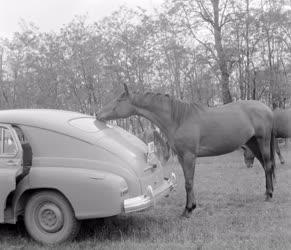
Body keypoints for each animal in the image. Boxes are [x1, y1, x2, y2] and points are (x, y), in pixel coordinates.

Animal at [97, 84, 276, 217]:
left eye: (119, 99)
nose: (98, 114)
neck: (179, 119)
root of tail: (266, 108)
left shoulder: (189, 156)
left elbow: (189, 183)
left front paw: (188, 210)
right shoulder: (182, 157)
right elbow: (188, 182)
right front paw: (191, 207)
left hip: (263, 141)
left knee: (268, 165)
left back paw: (269, 196)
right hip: (253, 143)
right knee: (265, 166)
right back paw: (268, 192)